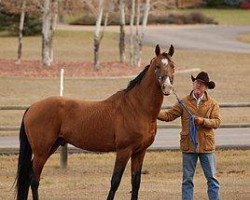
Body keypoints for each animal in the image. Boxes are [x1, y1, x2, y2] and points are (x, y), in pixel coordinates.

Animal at [15, 44, 176, 200]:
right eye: (157, 66)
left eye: (173, 66)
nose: (167, 87)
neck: (136, 107)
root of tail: (32, 107)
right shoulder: (124, 151)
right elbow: (115, 181)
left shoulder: (140, 152)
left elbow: (136, 182)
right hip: (41, 151)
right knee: (34, 179)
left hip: (51, 146)